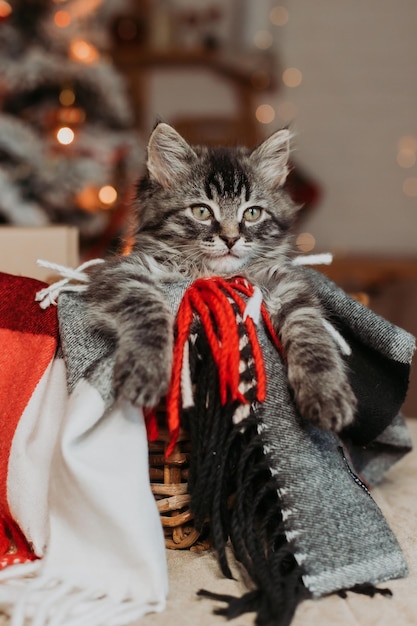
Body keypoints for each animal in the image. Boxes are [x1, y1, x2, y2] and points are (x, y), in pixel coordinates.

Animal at [84, 124, 354, 432]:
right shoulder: (121, 271)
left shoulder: (287, 285)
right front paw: (146, 367)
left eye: (252, 213)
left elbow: (311, 333)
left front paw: (326, 390)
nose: (230, 238)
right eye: (201, 211)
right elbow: (146, 310)